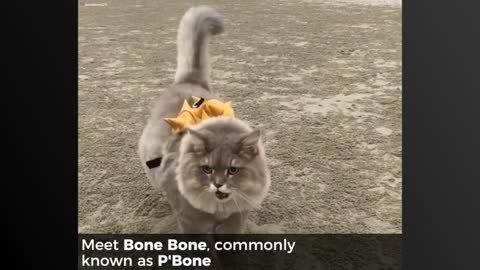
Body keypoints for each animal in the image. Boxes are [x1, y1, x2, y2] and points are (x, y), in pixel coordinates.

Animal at [138, 6, 270, 234]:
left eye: (233, 170)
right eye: (206, 168)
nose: (218, 183)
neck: (219, 207)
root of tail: (189, 80)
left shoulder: (237, 218)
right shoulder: (192, 223)